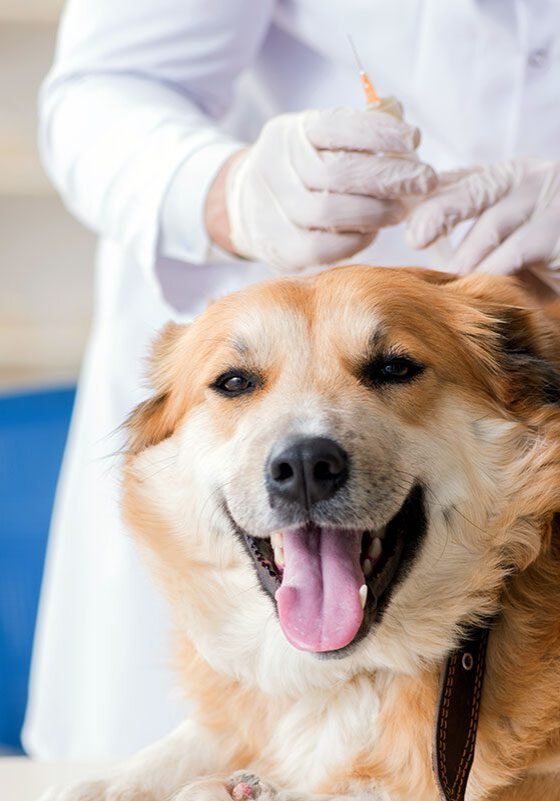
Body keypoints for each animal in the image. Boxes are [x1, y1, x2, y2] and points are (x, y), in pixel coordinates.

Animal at [43, 268, 560, 800]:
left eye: (395, 368)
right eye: (235, 381)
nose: (307, 466)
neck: (339, 676)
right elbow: (171, 751)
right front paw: (104, 783)